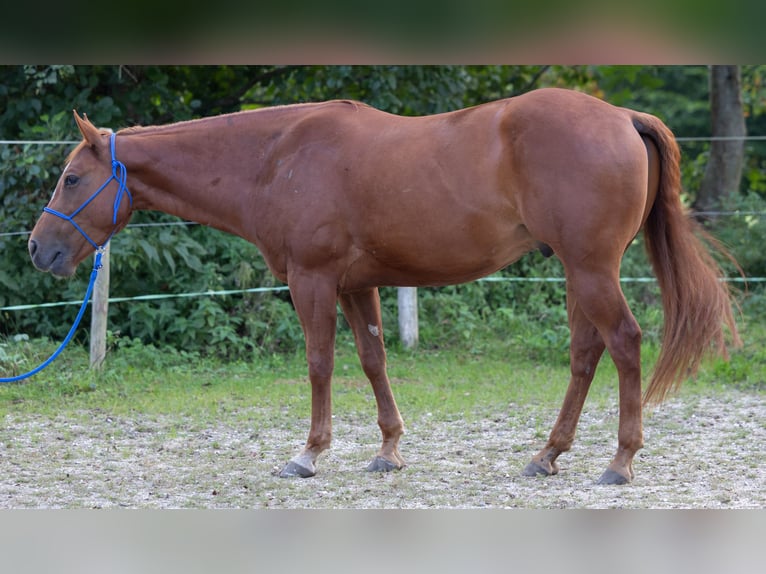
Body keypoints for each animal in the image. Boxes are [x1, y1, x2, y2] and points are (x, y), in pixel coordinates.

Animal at [27, 90, 740, 486]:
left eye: (69, 178)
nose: (38, 248)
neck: (275, 158)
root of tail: (621, 117)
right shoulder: (357, 285)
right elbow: (373, 360)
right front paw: (389, 450)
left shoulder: (313, 281)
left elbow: (320, 364)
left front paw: (309, 454)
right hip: (576, 270)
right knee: (586, 353)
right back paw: (547, 455)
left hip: (591, 268)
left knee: (623, 343)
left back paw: (618, 463)